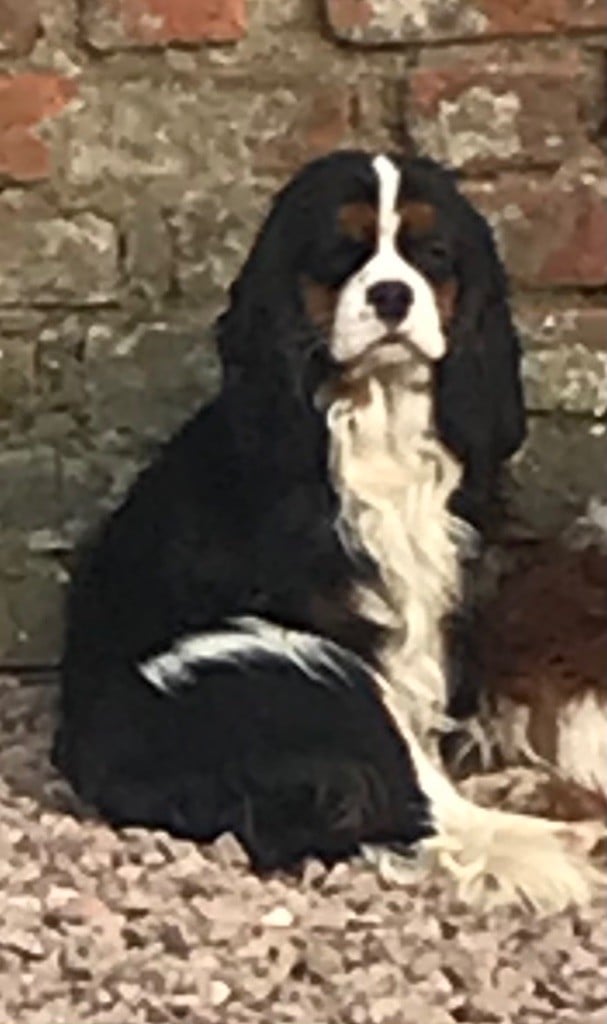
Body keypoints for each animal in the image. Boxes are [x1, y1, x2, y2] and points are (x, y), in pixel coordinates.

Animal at [52, 151, 600, 910]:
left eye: (432, 254)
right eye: (343, 252)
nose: (392, 295)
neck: (376, 415)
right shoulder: (333, 617)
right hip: (276, 656)